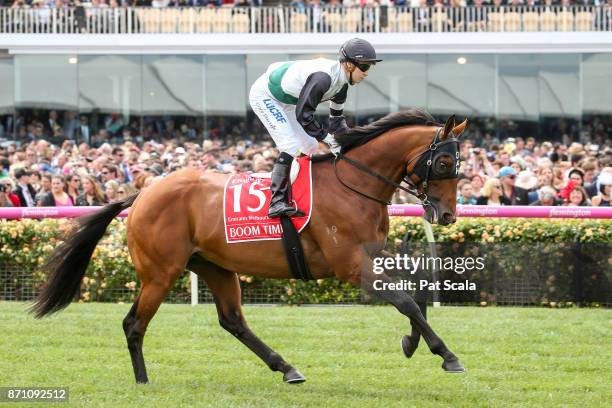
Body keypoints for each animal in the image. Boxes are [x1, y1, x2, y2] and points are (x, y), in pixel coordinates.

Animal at [32, 108, 468, 382]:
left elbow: (416, 291)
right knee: (134, 323)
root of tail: (142, 194)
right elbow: (405, 300)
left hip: (214, 266)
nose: (447, 215)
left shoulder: (372, 254)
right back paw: (142, 381)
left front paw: (411, 341)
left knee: (232, 321)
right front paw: (447, 355)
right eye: (445, 163)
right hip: (160, 272)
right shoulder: (349, 265)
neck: (355, 183)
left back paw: (286, 368)